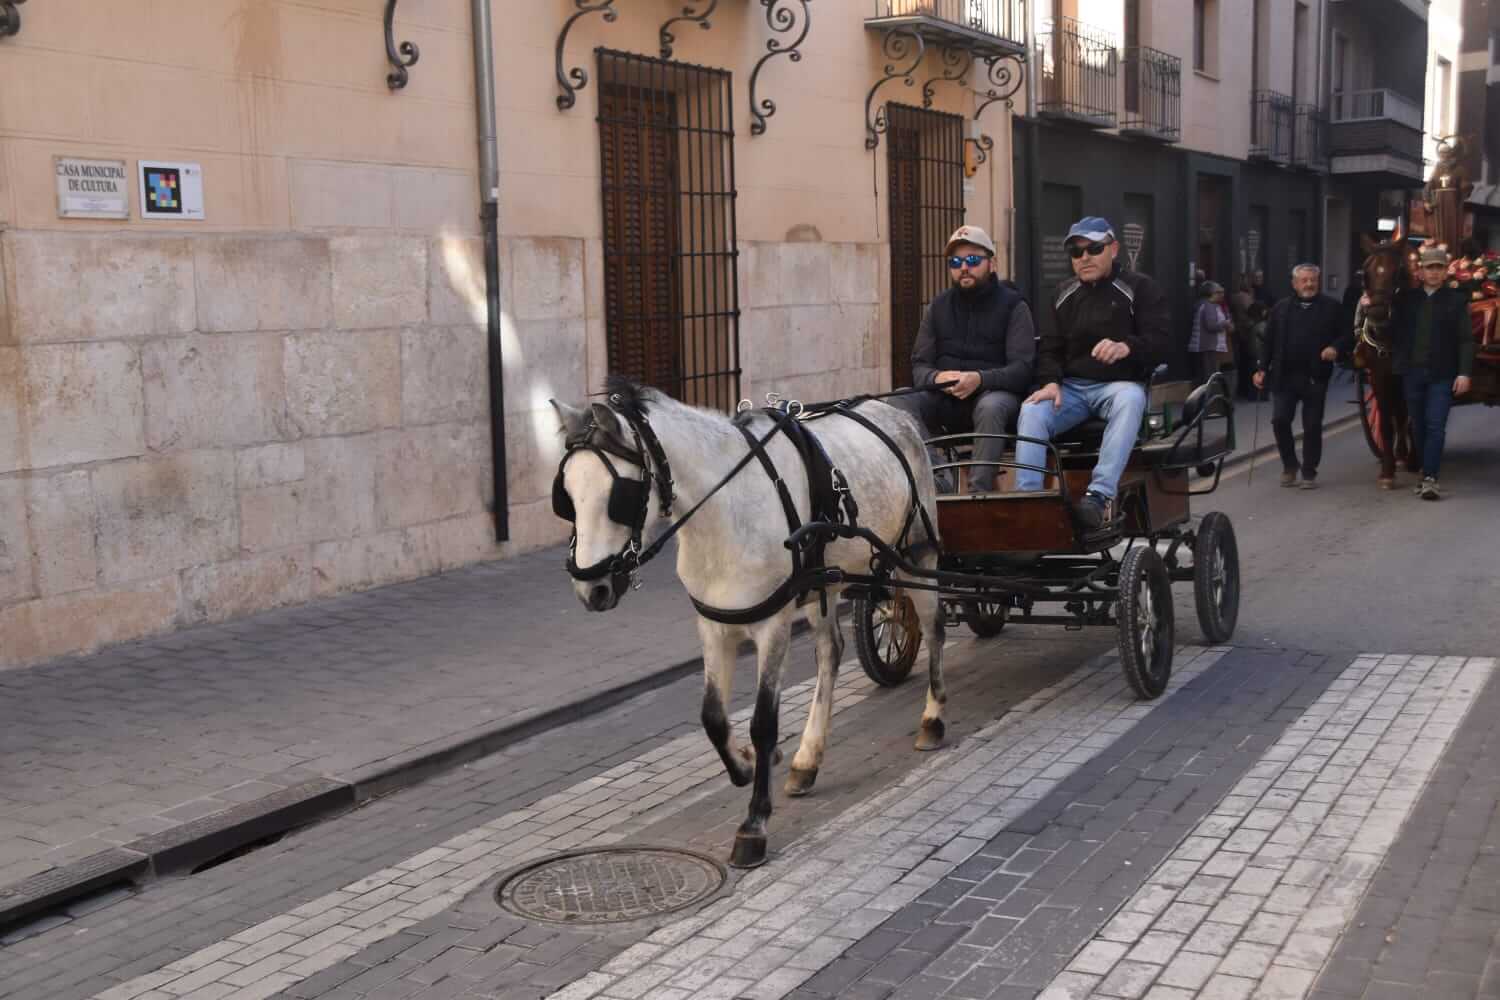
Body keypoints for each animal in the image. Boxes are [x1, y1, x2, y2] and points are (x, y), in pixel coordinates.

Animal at [549, 378, 946, 869]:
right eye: (566, 497)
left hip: (916, 553)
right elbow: (713, 717)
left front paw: (754, 824)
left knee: (933, 627)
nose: (593, 589)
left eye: (617, 497)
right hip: (826, 581)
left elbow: (763, 722)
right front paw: (746, 763)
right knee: (831, 650)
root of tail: (897, 413)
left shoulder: (772, 625)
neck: (726, 510)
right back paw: (807, 760)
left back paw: (932, 720)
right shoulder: (714, 625)